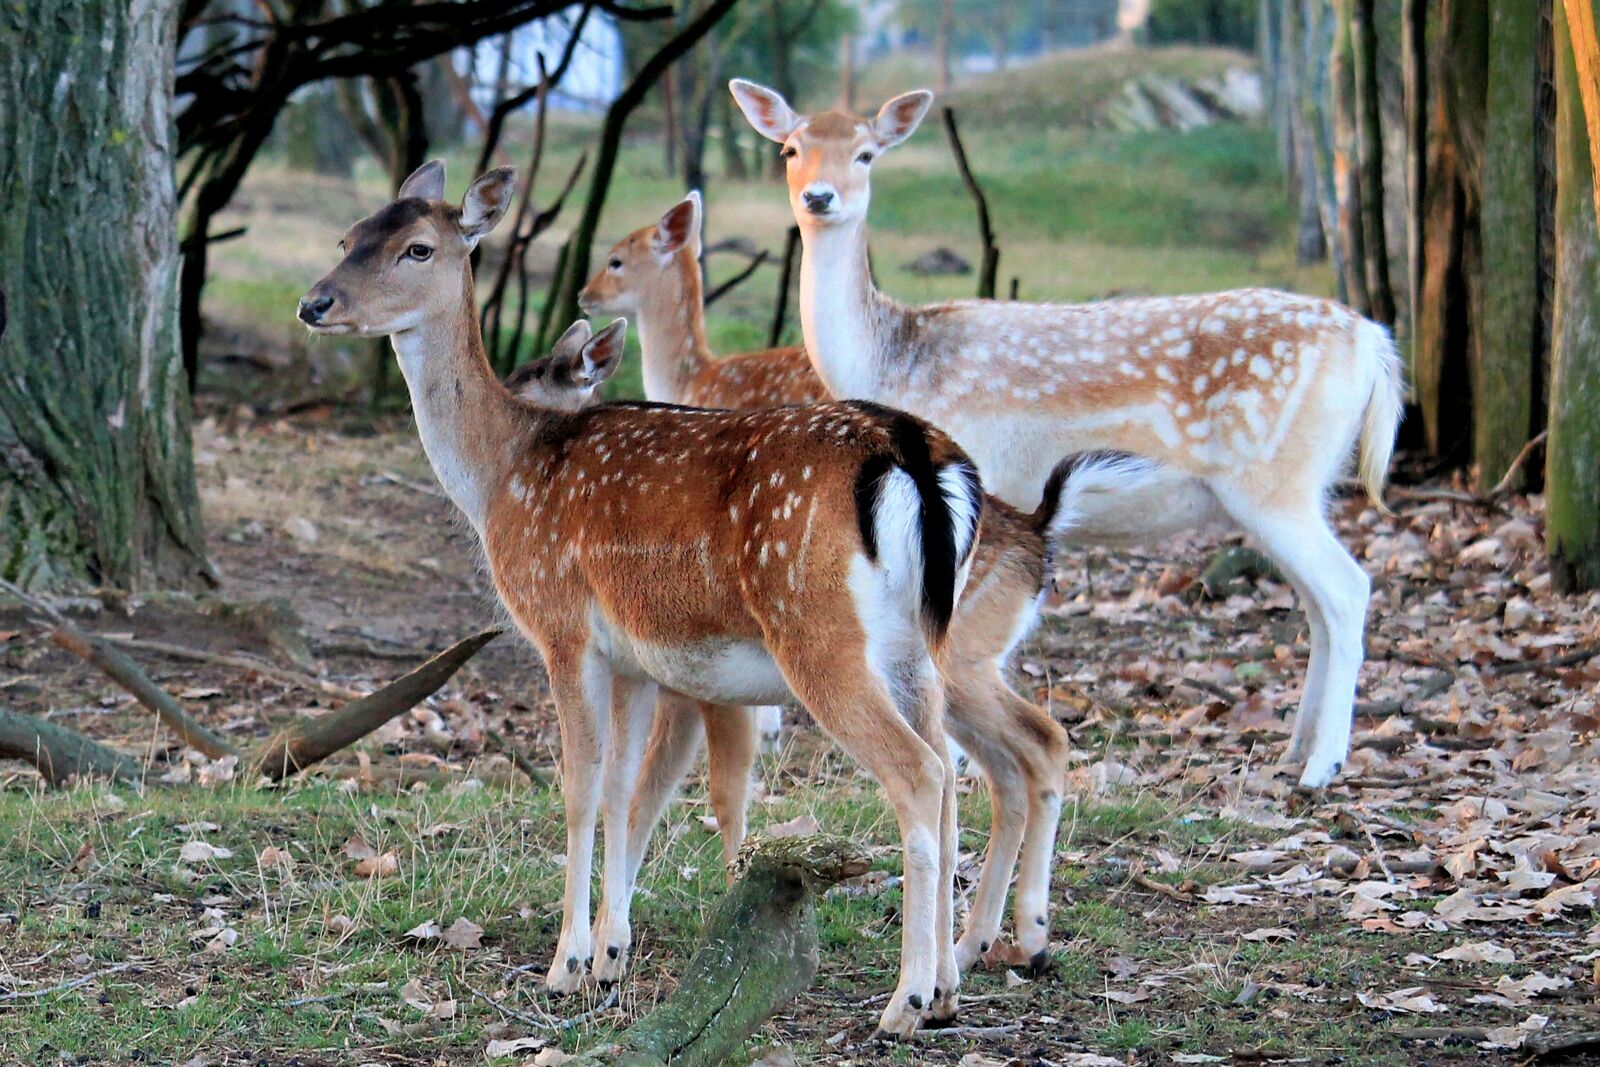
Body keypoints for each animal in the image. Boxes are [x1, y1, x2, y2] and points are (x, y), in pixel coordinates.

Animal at [298, 160, 995, 1037]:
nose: (315, 303)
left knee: (921, 773)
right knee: (951, 770)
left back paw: (905, 1000)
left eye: (417, 247)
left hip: (818, 630)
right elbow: (627, 793)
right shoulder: (631, 657)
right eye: (348, 236)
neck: (501, 477)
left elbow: (579, 787)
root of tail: (919, 459)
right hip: (920, 642)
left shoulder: (562, 624)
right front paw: (610, 955)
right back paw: (948, 990)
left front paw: (564, 964)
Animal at [570, 189, 1078, 976]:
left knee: (1024, 747)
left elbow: (724, 778)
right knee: (1011, 757)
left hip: (948, 657)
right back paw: (994, 941)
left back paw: (994, 941)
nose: (586, 295)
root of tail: (1039, 541)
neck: (694, 374)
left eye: (618, 257)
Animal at [730, 79, 1407, 790]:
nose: (819, 197)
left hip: (1274, 479)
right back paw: (1296, 748)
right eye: (791, 148)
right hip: (1305, 483)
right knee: (1317, 602)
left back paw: (1324, 764)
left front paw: (963, 759)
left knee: (1347, 589)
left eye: (865, 153)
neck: (891, 361)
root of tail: (1374, 343)